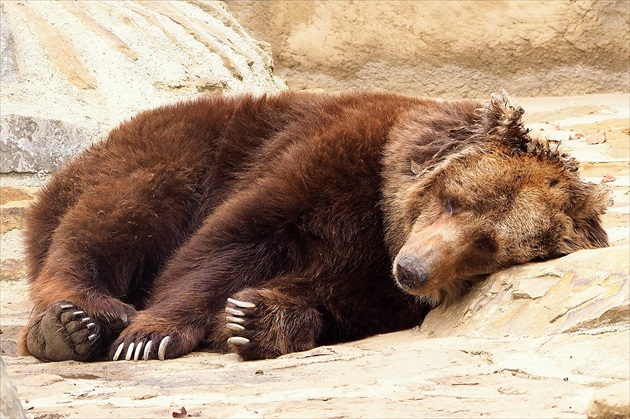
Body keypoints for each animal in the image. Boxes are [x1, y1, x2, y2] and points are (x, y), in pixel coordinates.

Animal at [21, 90, 612, 362]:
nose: (415, 269)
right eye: (453, 200)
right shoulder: (321, 162)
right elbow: (225, 247)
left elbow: (336, 301)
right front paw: (151, 335)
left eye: (487, 244)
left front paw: (253, 319)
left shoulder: (375, 281)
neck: (382, 217)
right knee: (115, 218)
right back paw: (77, 320)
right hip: (160, 153)